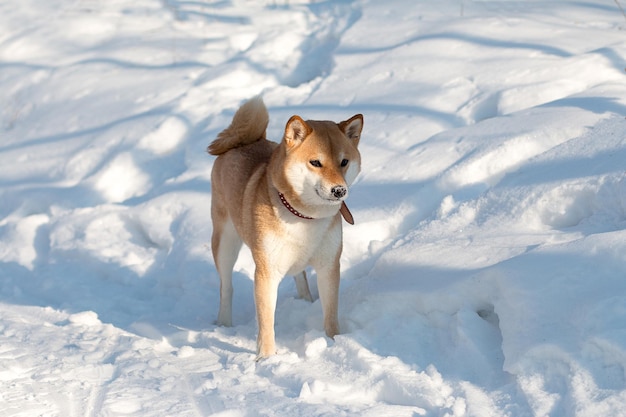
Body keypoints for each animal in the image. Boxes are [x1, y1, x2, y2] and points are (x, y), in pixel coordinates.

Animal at [207, 97, 360, 358]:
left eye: (344, 162)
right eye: (316, 162)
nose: (339, 190)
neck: (304, 217)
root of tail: (241, 142)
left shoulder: (329, 265)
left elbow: (331, 315)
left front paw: (334, 343)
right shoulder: (266, 272)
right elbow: (266, 322)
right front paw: (267, 358)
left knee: (300, 275)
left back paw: (306, 300)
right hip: (225, 242)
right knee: (226, 287)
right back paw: (224, 323)